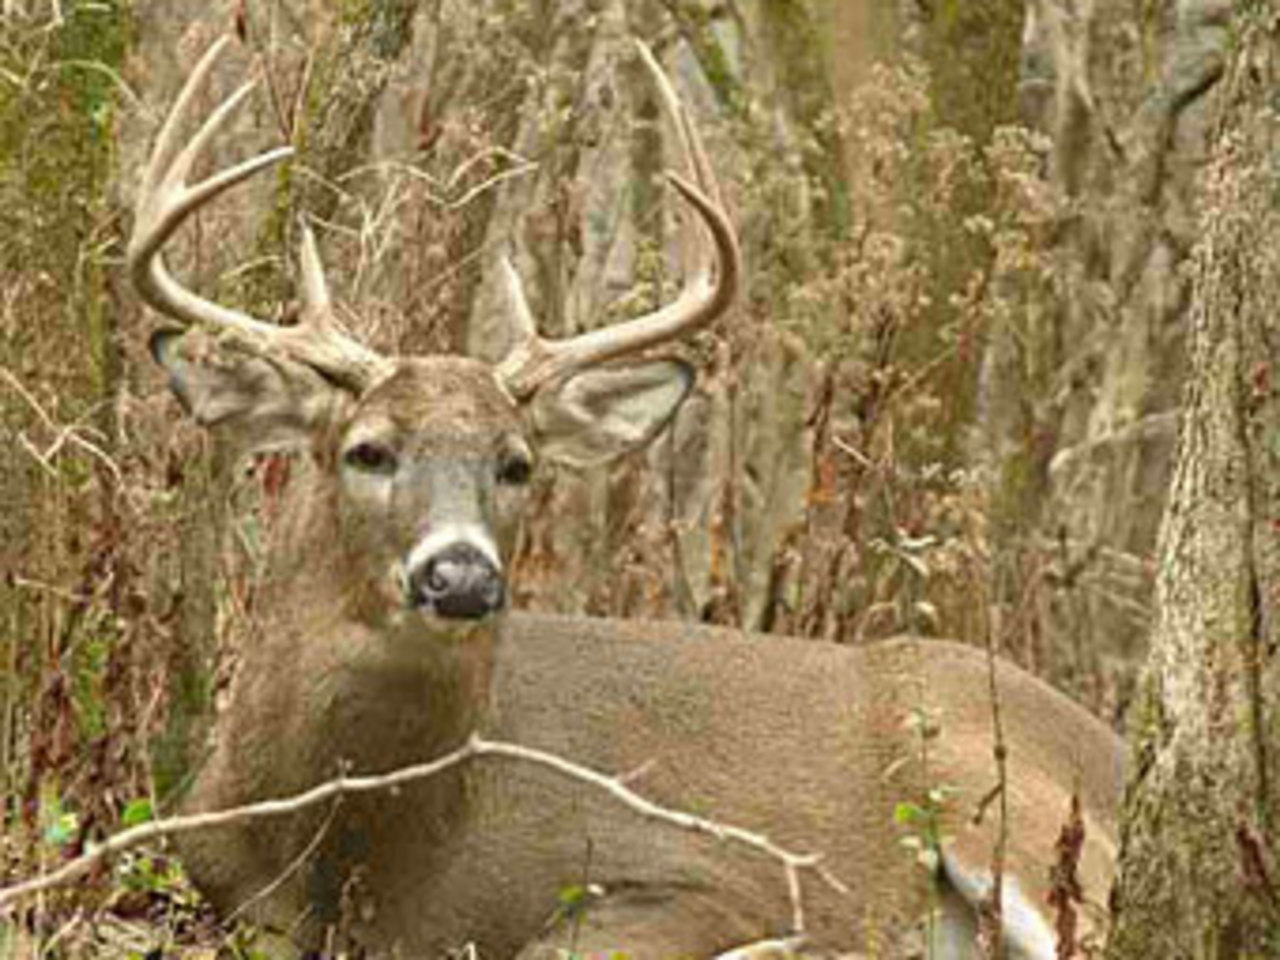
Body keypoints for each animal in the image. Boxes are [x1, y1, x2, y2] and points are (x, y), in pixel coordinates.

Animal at [131, 34, 1124, 960]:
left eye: (518, 463)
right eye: (366, 450)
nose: (461, 576)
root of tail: (1112, 745)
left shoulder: (707, 871)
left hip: (1005, 791)